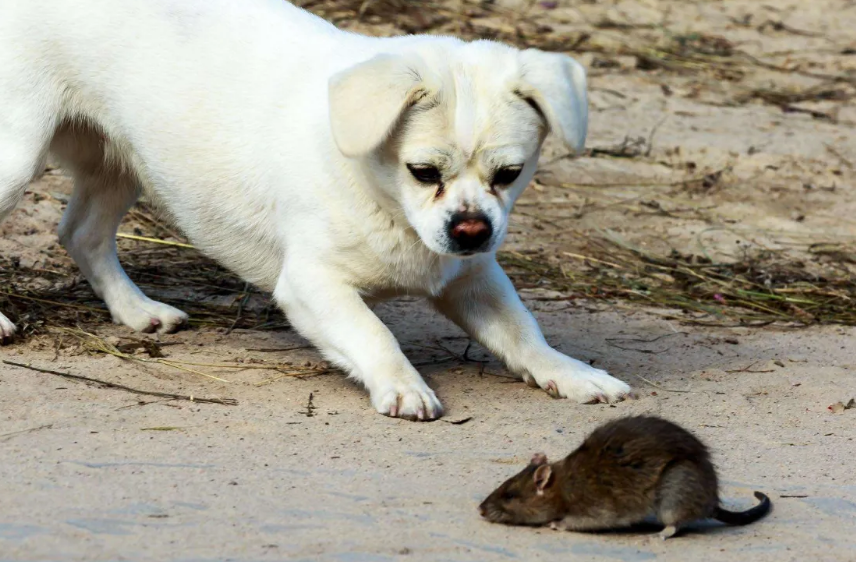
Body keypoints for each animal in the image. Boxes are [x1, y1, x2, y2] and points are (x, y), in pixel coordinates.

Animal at [0, 0, 628, 416]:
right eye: (423, 173)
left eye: (510, 175)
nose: (472, 230)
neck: (386, 201)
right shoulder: (311, 285)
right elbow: (373, 333)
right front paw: (403, 384)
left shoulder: (472, 279)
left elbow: (522, 331)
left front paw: (569, 373)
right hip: (18, 156)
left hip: (119, 163)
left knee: (82, 233)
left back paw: (136, 311)